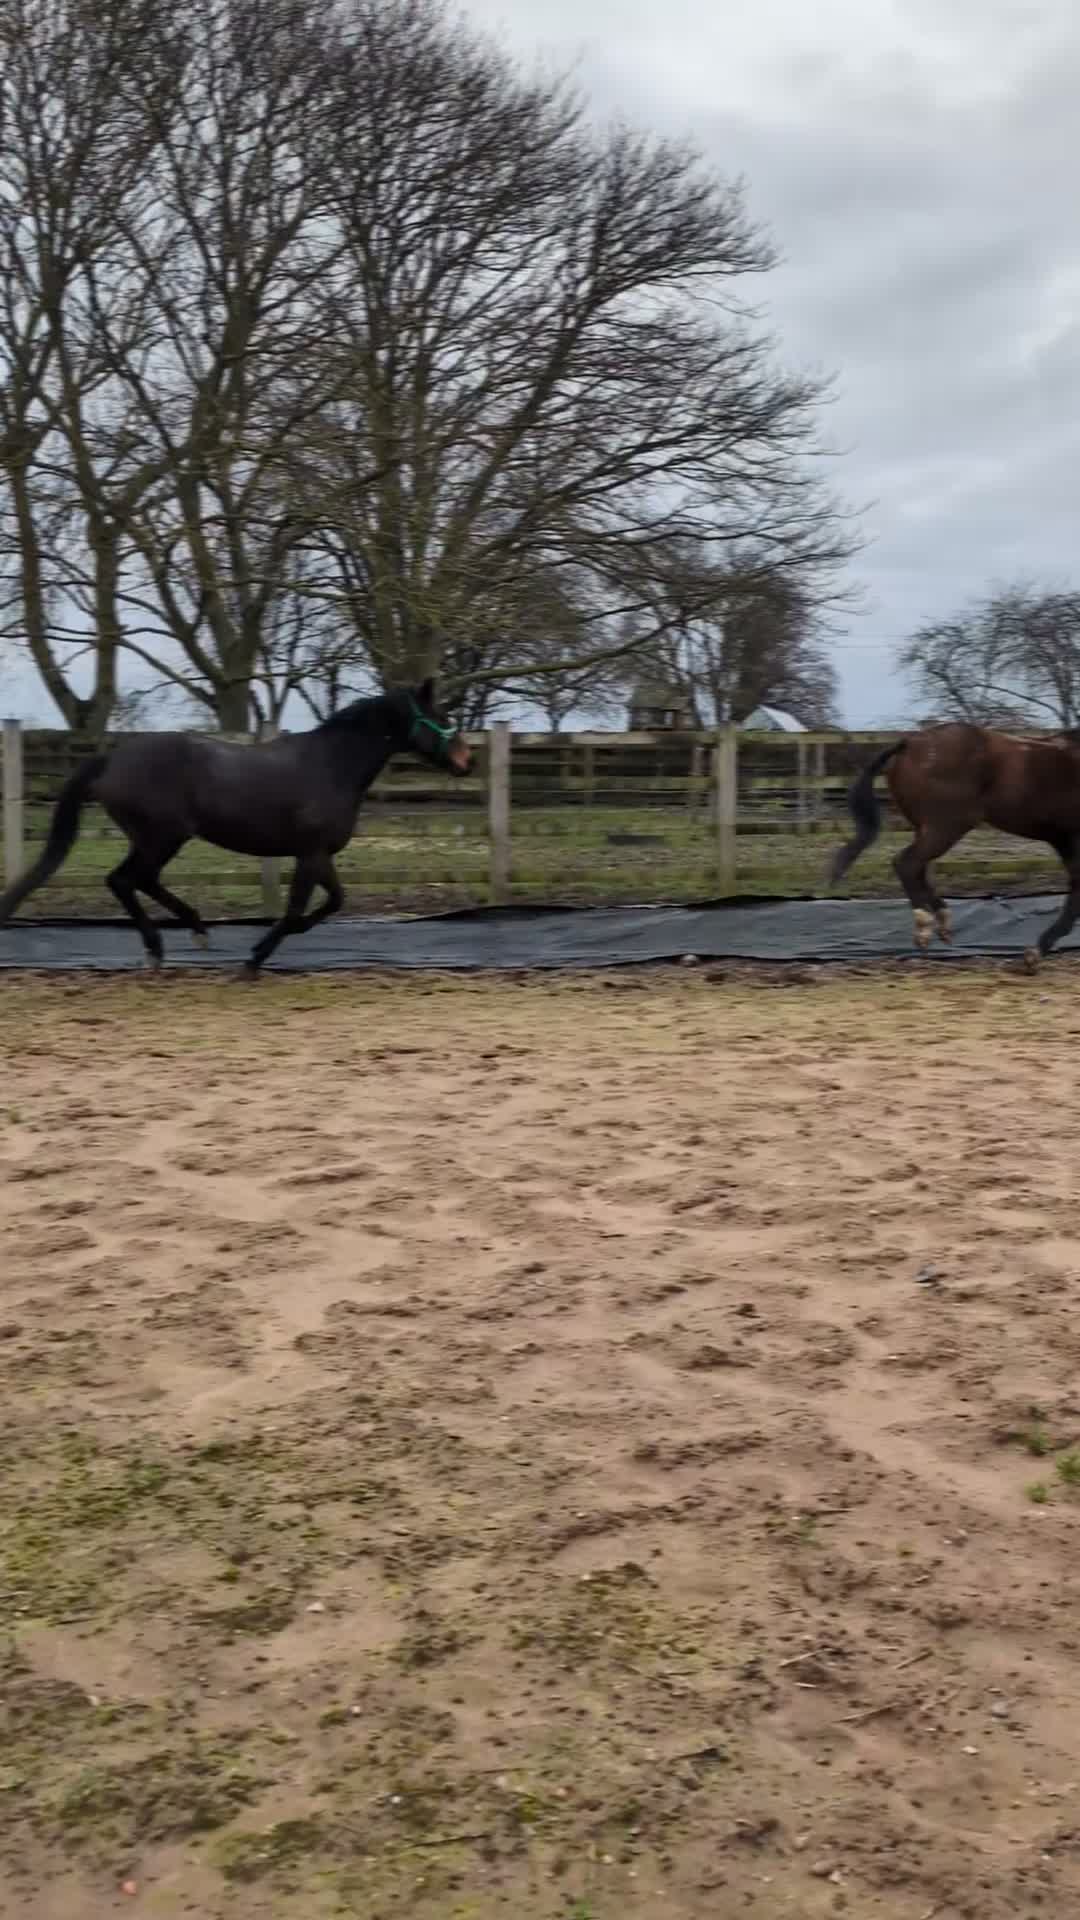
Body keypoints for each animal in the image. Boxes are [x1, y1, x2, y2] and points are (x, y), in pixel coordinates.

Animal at [0, 680, 472, 975]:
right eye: (441, 713)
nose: (466, 760)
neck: (331, 766)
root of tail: (111, 760)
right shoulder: (309, 854)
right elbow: (297, 909)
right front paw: (254, 958)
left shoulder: (319, 855)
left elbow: (334, 902)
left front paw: (273, 943)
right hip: (161, 838)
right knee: (123, 880)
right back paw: (161, 946)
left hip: (159, 840)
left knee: (138, 881)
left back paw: (193, 930)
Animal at [830, 721, 1080, 970]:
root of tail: (909, 743)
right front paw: (1035, 953)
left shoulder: (1064, 840)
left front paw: (1036, 952)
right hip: (946, 826)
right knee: (907, 863)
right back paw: (925, 926)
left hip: (929, 828)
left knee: (919, 868)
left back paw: (941, 920)